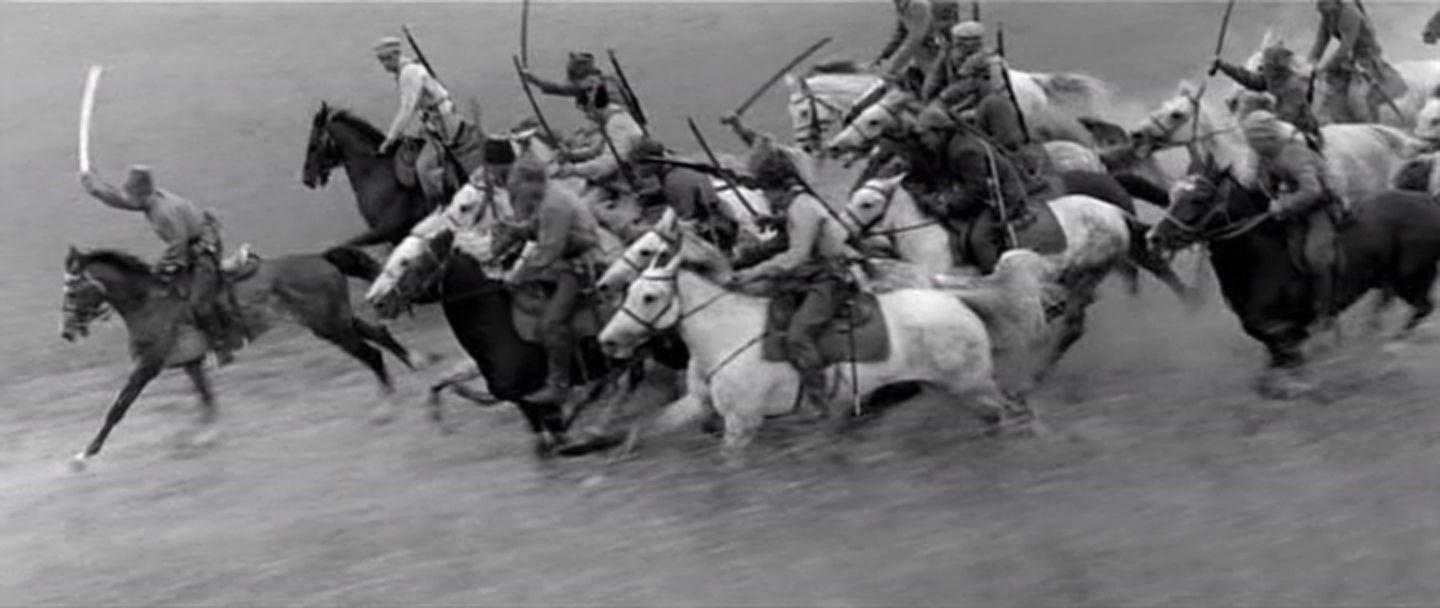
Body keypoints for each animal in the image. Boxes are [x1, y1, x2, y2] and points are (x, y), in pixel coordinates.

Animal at [61, 245, 412, 470]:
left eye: (73, 292)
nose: (66, 333)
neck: (150, 303)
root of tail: (323, 259)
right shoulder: (190, 364)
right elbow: (206, 398)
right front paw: (206, 436)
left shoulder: (147, 367)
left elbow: (117, 408)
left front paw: (85, 454)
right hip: (336, 322)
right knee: (379, 335)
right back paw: (415, 362)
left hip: (331, 327)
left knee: (372, 354)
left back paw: (386, 407)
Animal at [597, 245, 1055, 459]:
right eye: (631, 291)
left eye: (650, 296)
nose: (607, 341)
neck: (725, 335)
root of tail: (952, 297)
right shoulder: (700, 405)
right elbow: (651, 426)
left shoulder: (742, 424)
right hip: (948, 388)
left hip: (971, 384)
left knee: (1014, 412)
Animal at [1148, 162, 1440, 398]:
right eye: (1172, 196)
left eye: (1199, 198)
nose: (1154, 237)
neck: (1261, 257)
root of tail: (1431, 202)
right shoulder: (1270, 331)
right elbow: (1270, 373)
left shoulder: (1285, 329)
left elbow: (1289, 362)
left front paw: (1303, 384)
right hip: (1390, 280)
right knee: (1388, 304)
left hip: (1412, 278)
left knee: (1423, 307)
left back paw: (1390, 352)